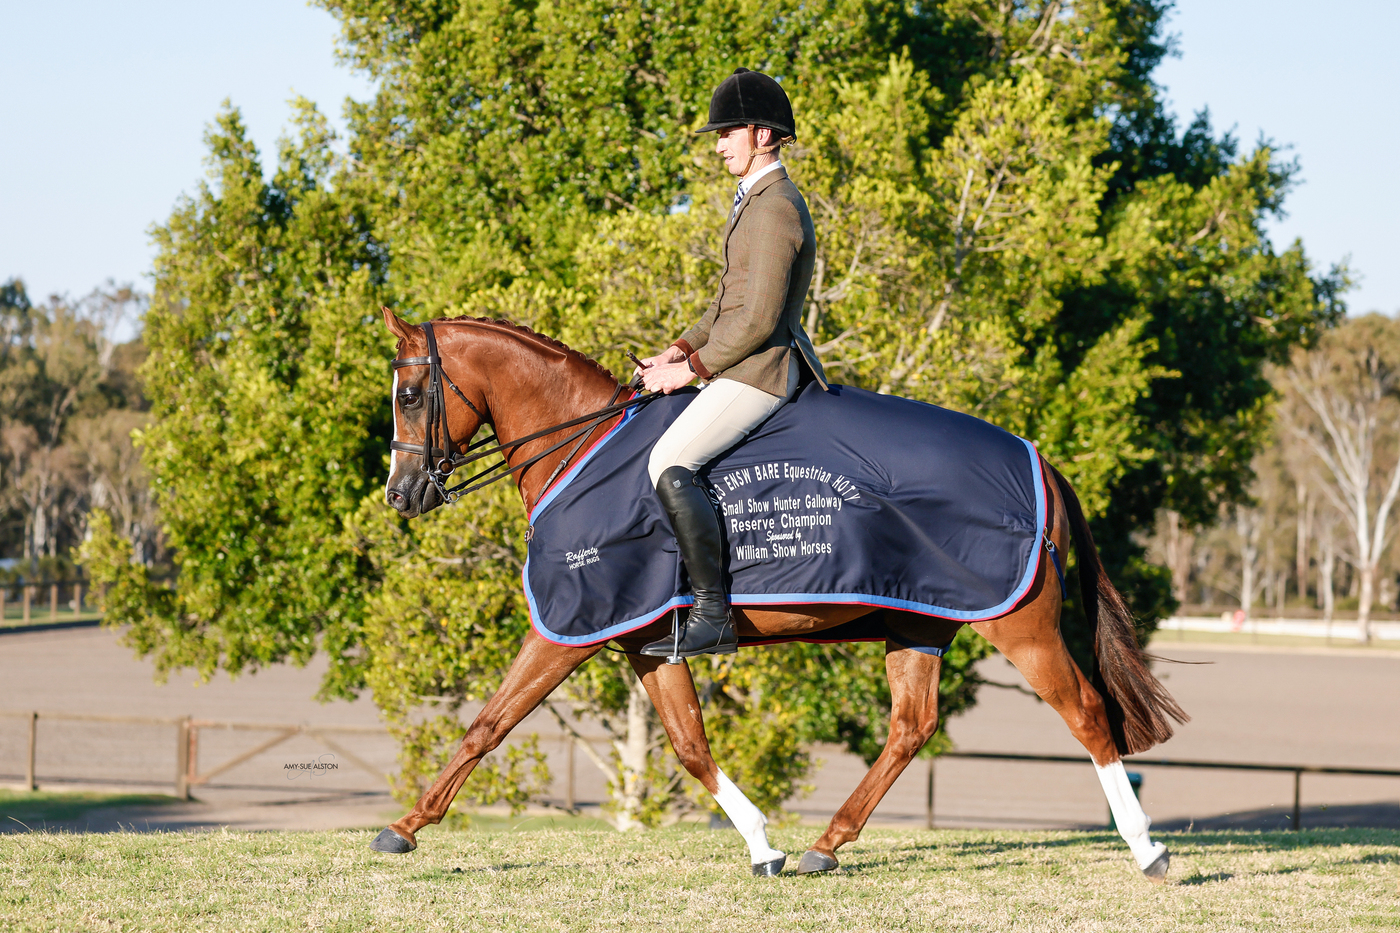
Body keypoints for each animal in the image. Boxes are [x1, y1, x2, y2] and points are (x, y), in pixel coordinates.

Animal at [372, 308, 1188, 881]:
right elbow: (691, 746)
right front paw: (764, 845)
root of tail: (1037, 458)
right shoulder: (645, 641)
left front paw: (405, 827)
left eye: (410, 395)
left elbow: (487, 725)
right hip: (920, 622)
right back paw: (827, 845)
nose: (401, 496)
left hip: (1021, 625)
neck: (582, 449)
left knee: (1085, 713)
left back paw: (1148, 851)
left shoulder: (569, 629)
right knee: (911, 725)